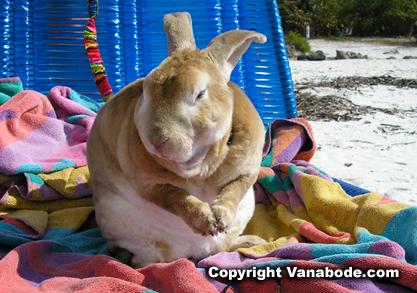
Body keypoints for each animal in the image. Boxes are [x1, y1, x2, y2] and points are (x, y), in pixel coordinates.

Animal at [88, 11, 266, 266]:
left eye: (200, 94)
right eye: (145, 92)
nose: (155, 139)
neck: (200, 166)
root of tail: (196, 253)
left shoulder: (248, 172)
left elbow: (234, 189)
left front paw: (220, 218)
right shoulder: (151, 186)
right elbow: (178, 198)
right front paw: (206, 222)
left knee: (225, 245)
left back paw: (251, 242)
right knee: (141, 261)